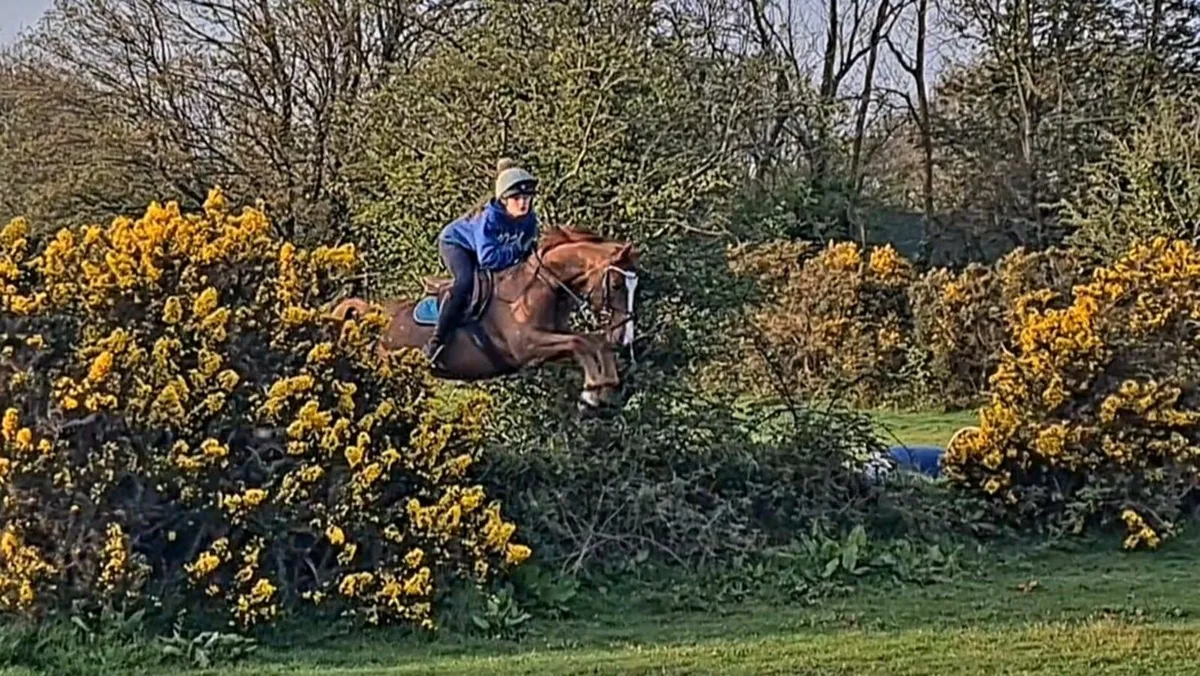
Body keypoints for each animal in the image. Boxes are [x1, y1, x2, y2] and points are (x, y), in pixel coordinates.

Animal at [330, 227, 641, 411]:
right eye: (616, 285)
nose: (624, 337)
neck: (538, 287)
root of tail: (370, 314)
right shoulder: (527, 347)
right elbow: (581, 342)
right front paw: (592, 391)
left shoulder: (549, 344)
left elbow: (592, 341)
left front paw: (603, 386)